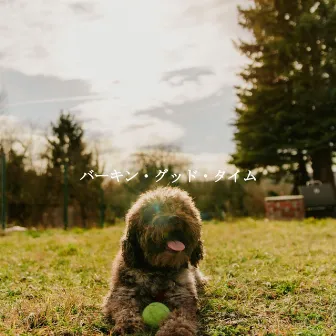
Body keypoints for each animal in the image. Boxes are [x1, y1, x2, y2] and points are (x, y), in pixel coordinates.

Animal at [101, 185, 207, 334]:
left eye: (183, 209)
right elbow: (125, 310)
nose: (175, 218)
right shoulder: (123, 293)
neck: (157, 268)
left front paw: (174, 331)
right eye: (151, 213)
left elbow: (180, 317)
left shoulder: (182, 296)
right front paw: (129, 326)